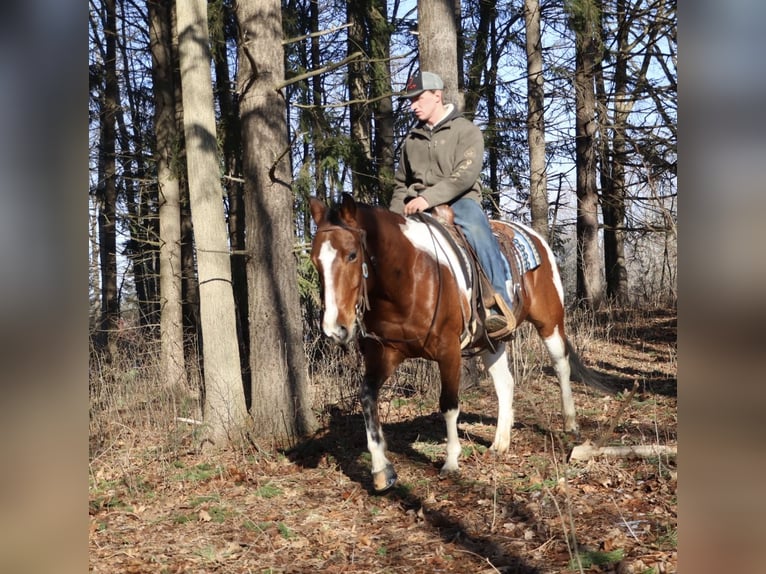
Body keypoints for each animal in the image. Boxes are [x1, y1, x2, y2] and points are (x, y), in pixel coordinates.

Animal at [309, 193, 609, 492]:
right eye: (314, 261)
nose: (334, 328)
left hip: (549, 322)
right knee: (505, 383)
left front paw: (451, 461)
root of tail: (536, 237)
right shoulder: (385, 353)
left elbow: (449, 404)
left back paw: (570, 423)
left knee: (561, 366)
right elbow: (367, 398)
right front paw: (382, 470)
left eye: (352, 255)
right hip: (491, 341)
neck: (408, 277)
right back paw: (500, 442)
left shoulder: (448, 350)